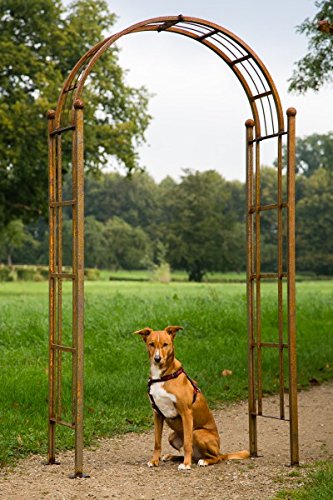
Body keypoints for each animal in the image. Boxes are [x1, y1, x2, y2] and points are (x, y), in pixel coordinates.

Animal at [134, 326, 248, 470]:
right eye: (151, 344)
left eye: (165, 344)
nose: (157, 358)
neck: (162, 377)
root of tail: (220, 451)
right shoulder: (157, 414)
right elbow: (157, 442)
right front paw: (154, 461)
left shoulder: (186, 413)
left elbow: (187, 443)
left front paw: (186, 464)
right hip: (172, 436)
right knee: (192, 454)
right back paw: (172, 457)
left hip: (197, 433)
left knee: (215, 457)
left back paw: (203, 461)